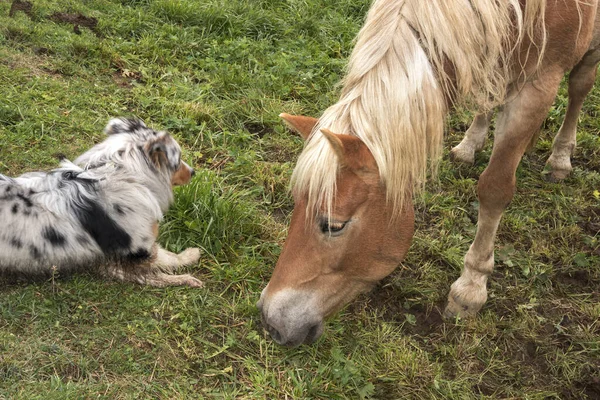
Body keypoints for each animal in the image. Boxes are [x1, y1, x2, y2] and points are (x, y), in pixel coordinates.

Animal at [258, 0, 600, 346]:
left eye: (333, 225)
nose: (270, 321)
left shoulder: (537, 88)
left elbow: (495, 188)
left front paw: (470, 288)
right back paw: (470, 143)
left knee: (580, 85)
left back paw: (560, 157)